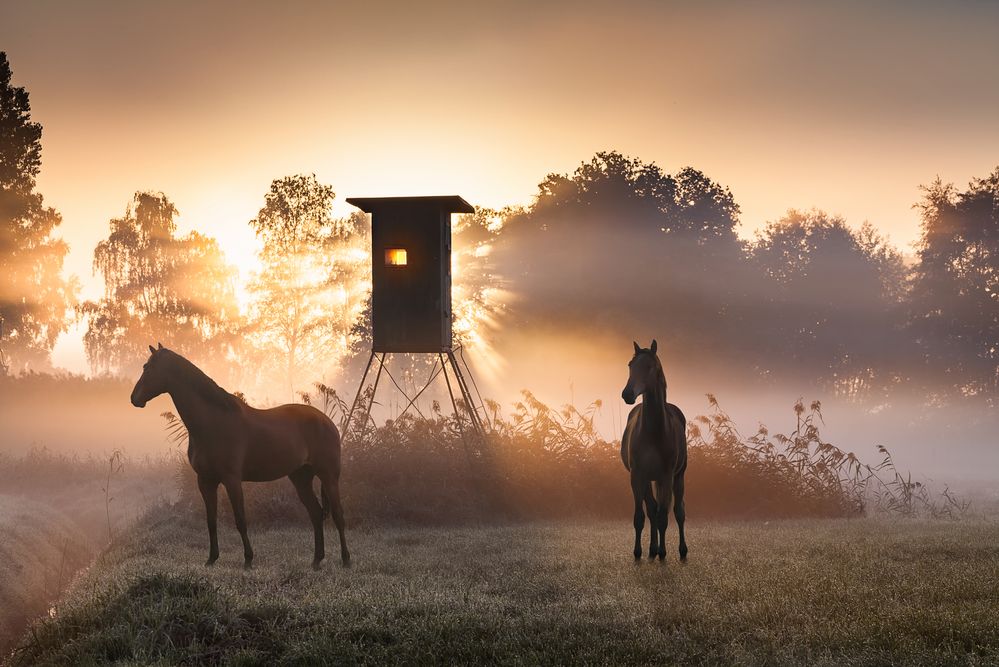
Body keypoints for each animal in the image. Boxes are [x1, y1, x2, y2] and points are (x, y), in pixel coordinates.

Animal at [129, 344, 350, 568]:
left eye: (147, 367)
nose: (134, 398)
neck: (212, 423)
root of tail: (327, 421)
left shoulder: (232, 479)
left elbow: (240, 520)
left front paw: (248, 560)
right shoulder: (205, 481)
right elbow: (211, 521)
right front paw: (211, 559)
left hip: (329, 476)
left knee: (338, 515)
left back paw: (346, 559)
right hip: (301, 478)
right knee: (315, 514)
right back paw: (316, 560)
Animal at [616, 340, 688, 564]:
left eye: (649, 366)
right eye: (630, 365)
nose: (627, 394)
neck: (653, 431)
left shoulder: (666, 476)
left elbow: (665, 515)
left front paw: (664, 553)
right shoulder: (637, 475)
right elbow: (641, 516)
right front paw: (638, 552)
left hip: (678, 476)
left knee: (678, 511)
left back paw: (681, 550)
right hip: (648, 479)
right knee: (652, 509)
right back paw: (652, 549)